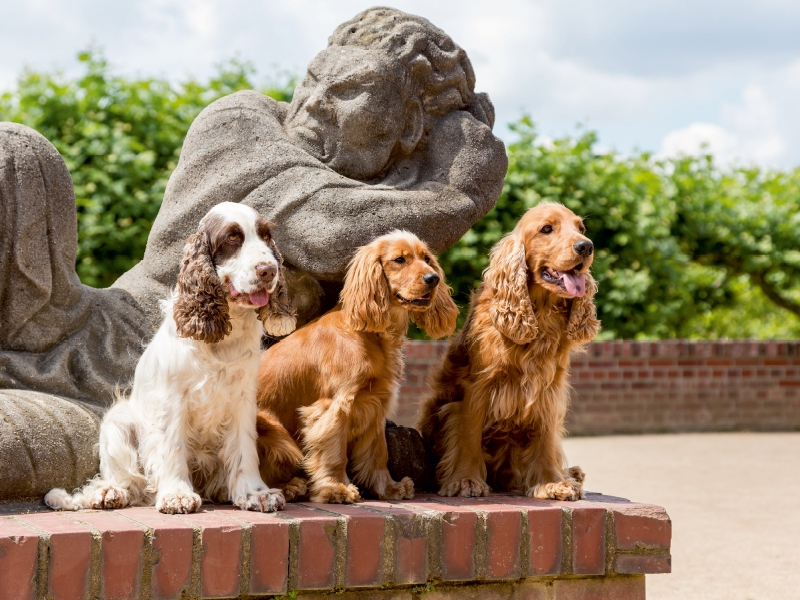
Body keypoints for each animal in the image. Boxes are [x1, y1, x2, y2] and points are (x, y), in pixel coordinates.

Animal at [42, 204, 296, 512]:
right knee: (127, 481)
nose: (269, 270)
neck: (223, 336)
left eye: (266, 236)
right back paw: (110, 492)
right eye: (232, 238)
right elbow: (173, 446)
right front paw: (177, 495)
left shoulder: (242, 398)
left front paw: (255, 493)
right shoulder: (173, 398)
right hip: (118, 420)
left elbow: (244, 449)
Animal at [256, 230, 456, 502]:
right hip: (274, 432)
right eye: (399, 260)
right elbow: (334, 452)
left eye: (426, 259)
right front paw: (336, 489)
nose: (433, 278)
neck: (371, 333)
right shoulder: (334, 407)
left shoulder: (375, 404)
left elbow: (377, 453)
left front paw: (389, 488)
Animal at [418, 204, 600, 500]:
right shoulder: (476, 387)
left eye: (580, 228)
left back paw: (571, 476)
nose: (586, 246)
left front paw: (552, 482)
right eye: (546, 229)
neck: (539, 314)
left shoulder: (549, 389)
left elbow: (546, 440)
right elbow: (468, 434)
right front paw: (466, 481)